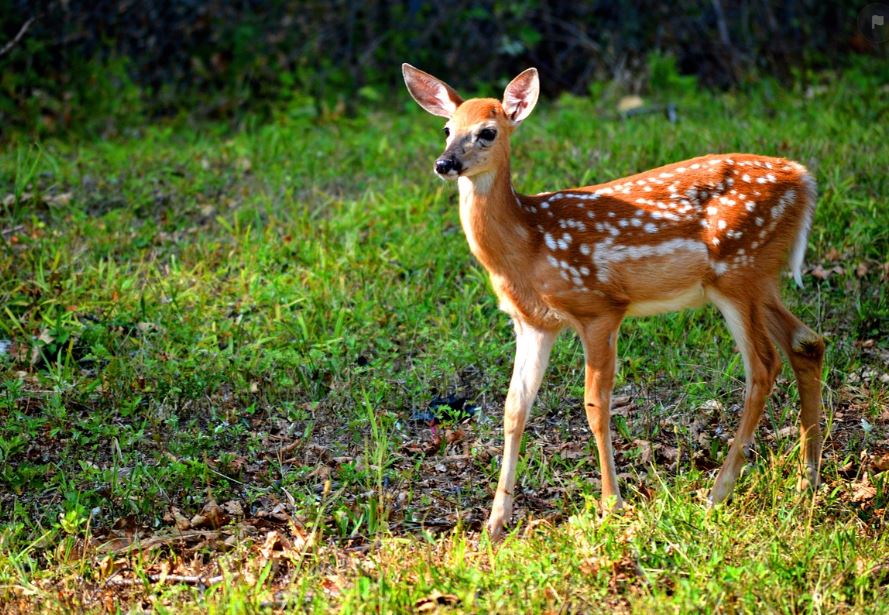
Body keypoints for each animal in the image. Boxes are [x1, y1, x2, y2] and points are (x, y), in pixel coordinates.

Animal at [401, 64, 825, 540]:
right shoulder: (533, 322)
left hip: (738, 273)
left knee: (764, 365)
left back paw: (719, 491)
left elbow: (595, 406)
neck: (528, 245)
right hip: (760, 277)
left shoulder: (599, 308)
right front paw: (495, 522)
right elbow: (514, 408)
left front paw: (611, 504)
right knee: (806, 342)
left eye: (488, 132)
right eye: (446, 129)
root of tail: (805, 180)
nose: (445, 163)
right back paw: (807, 479)